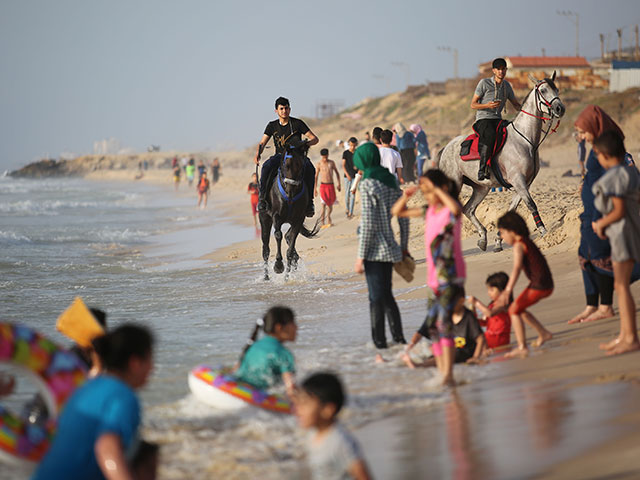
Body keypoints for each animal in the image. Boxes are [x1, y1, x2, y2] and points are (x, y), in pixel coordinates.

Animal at [258, 139, 320, 280]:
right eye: (286, 165)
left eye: (301, 165)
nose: (290, 190)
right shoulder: (276, 217)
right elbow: (278, 235)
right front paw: (278, 266)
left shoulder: (298, 219)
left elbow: (291, 245)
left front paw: (287, 276)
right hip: (265, 219)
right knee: (265, 248)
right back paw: (266, 277)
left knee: (287, 237)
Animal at [436, 73, 564, 253]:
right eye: (544, 90)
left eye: (557, 89)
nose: (560, 108)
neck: (525, 140)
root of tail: (446, 147)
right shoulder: (518, 180)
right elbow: (531, 205)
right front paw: (544, 232)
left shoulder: (523, 184)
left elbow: (512, 210)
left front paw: (498, 240)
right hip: (454, 184)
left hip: (481, 188)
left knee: (468, 209)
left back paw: (483, 238)